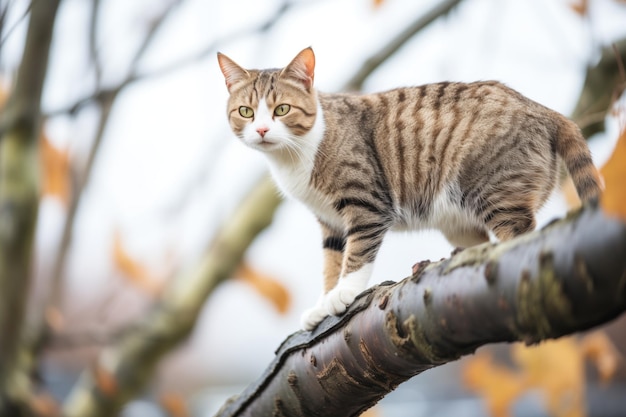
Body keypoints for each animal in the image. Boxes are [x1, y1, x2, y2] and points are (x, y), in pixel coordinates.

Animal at [217, 47, 604, 330]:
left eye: (282, 109)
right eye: (246, 112)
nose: (262, 130)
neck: (294, 158)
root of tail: (542, 109)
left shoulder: (367, 204)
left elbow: (356, 254)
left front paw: (344, 293)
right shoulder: (329, 221)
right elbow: (331, 260)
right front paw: (323, 302)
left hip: (495, 191)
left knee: (520, 233)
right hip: (461, 220)